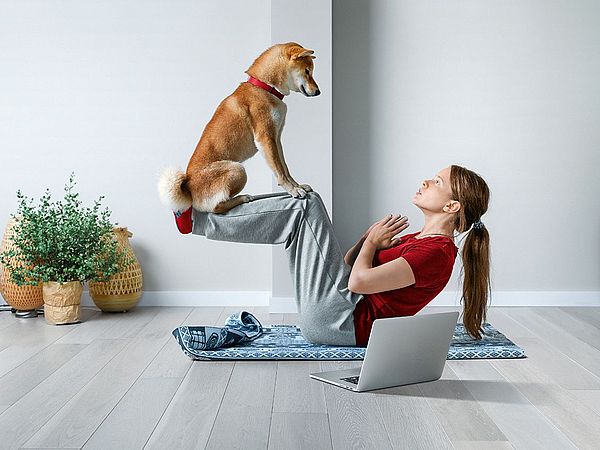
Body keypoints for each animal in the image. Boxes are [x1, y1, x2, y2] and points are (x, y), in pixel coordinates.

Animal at [157, 43, 322, 232]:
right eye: (307, 71)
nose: (318, 92)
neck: (265, 87)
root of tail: (187, 188)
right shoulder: (265, 139)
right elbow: (279, 172)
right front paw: (293, 191)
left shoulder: (276, 138)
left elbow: (285, 168)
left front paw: (297, 186)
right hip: (237, 169)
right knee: (216, 208)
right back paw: (242, 198)